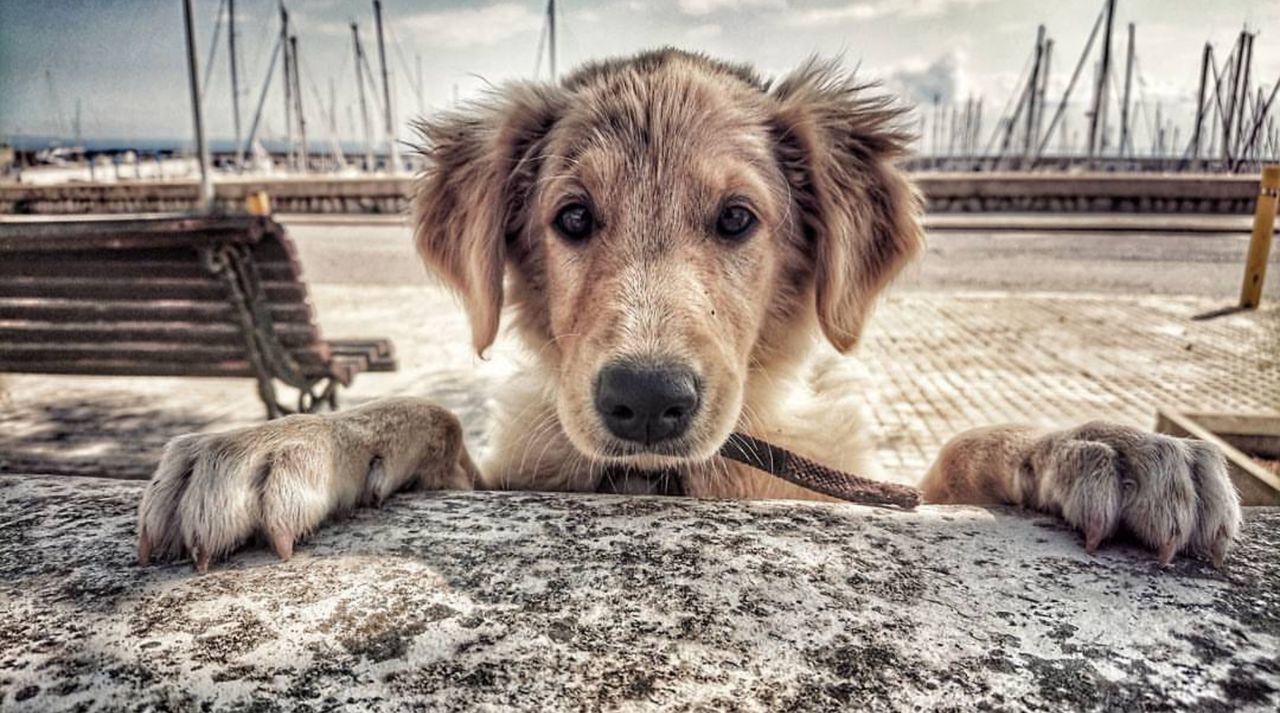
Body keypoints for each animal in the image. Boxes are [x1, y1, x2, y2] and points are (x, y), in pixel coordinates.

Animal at [137, 48, 1239, 573]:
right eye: (572, 217)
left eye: (738, 219)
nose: (645, 400)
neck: (669, 482)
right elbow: (434, 413)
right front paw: (285, 442)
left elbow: (960, 451)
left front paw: (1104, 446)